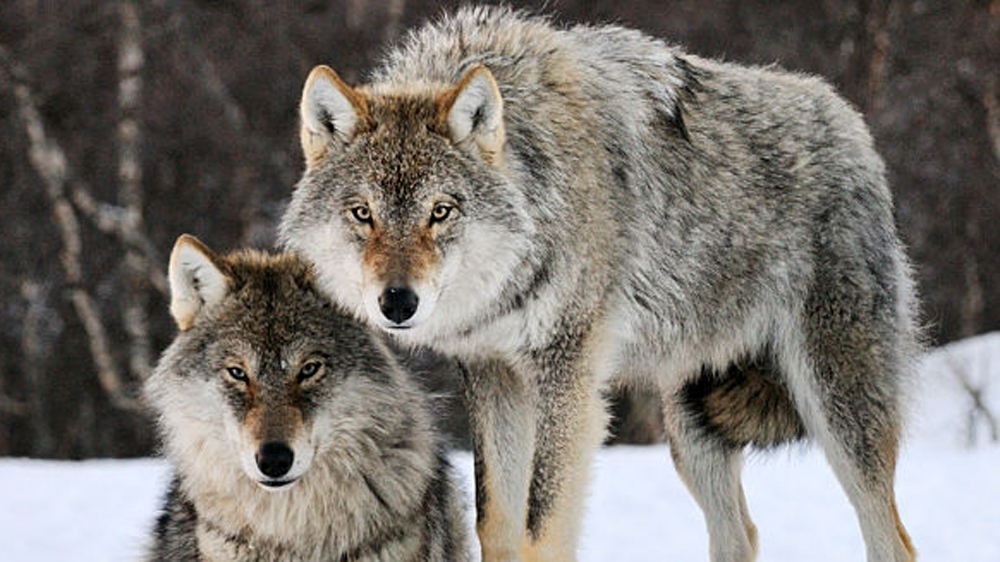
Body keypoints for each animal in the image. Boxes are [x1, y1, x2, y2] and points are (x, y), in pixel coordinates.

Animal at [280, 7, 920, 562]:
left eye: (440, 212)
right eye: (363, 214)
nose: (397, 302)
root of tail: (851, 123)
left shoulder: (569, 377)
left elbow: (541, 531)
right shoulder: (493, 374)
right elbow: (496, 525)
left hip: (837, 410)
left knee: (894, 539)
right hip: (692, 431)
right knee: (742, 535)